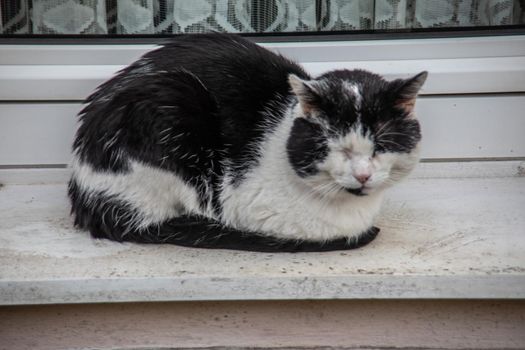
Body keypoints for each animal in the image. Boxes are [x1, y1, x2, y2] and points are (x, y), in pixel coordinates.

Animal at [67, 34, 426, 253]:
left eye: (380, 146)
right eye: (338, 148)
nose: (363, 175)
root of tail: (82, 190)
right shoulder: (250, 207)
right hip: (174, 103)